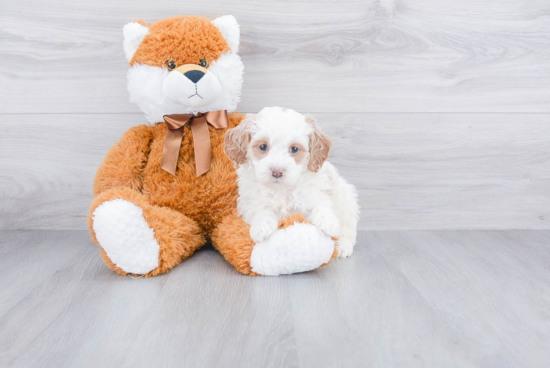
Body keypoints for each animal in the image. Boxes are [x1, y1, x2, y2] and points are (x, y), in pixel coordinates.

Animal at [225, 105, 362, 258]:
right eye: (263, 147)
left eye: (294, 149)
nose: (277, 171)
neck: (282, 189)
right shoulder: (250, 201)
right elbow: (260, 210)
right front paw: (262, 226)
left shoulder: (315, 193)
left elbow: (321, 205)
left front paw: (327, 222)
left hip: (347, 200)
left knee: (348, 227)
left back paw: (343, 245)